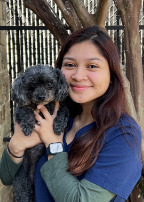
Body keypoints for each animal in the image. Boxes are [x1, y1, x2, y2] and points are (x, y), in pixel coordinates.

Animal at [11, 64, 70, 201]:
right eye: (32, 85)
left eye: (49, 84)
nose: (41, 97)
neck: (44, 106)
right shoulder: (19, 111)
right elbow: (26, 110)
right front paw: (28, 126)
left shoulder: (62, 107)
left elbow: (62, 111)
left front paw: (58, 125)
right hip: (21, 185)